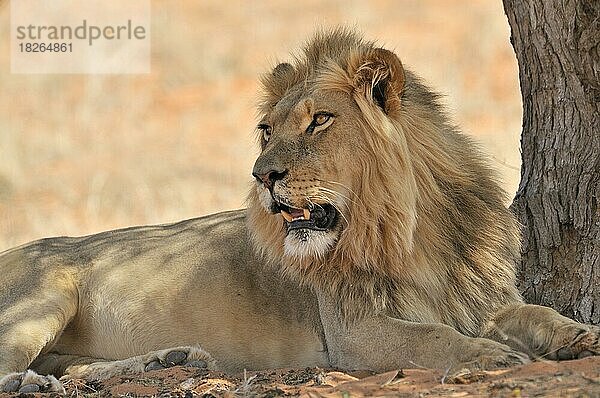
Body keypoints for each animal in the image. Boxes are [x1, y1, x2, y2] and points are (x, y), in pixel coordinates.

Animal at [1, 29, 600, 394]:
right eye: (267, 130)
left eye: (319, 121)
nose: (261, 175)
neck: (413, 234)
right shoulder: (355, 333)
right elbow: (435, 338)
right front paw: (489, 357)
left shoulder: (482, 298)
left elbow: (537, 313)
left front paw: (581, 336)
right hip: (43, 295)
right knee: (15, 364)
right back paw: (30, 382)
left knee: (69, 366)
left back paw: (167, 361)